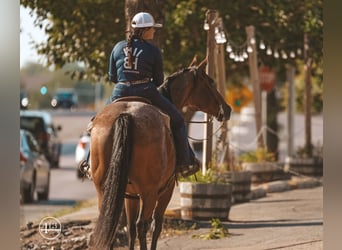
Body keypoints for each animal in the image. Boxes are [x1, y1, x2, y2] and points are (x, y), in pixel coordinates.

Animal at [88, 57, 232, 249]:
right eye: (210, 82)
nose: (227, 109)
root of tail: (126, 115)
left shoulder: (131, 195)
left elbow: (130, 228)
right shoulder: (166, 190)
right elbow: (156, 225)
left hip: (104, 190)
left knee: (110, 228)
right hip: (149, 192)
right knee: (143, 225)